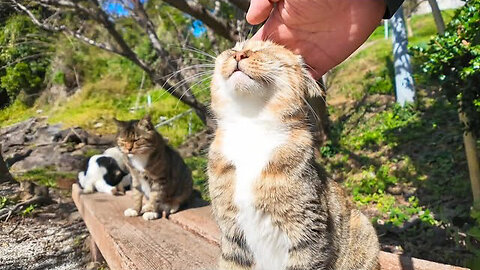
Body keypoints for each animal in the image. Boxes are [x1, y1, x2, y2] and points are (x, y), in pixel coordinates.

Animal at [208, 40, 380, 270]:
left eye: (265, 50)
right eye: (234, 49)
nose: (239, 55)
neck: (251, 127)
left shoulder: (306, 231)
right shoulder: (232, 234)